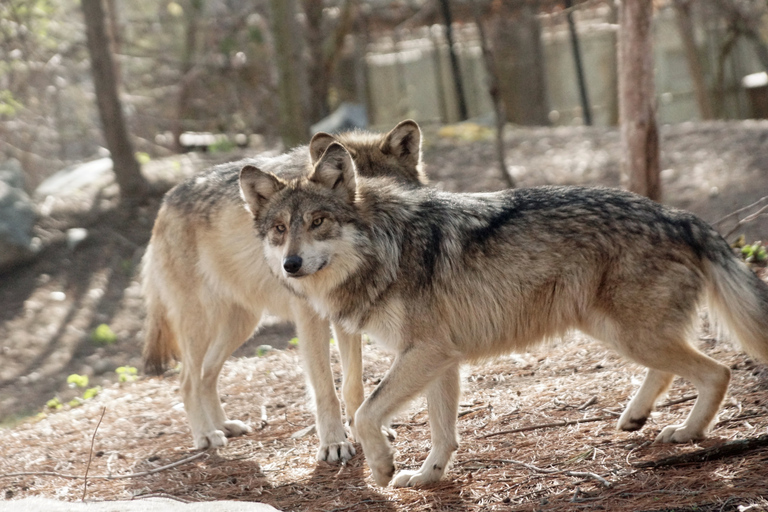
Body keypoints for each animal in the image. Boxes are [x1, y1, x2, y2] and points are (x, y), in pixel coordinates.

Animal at [140, 119, 426, 460]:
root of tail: (165, 202)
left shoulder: (345, 317)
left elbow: (353, 382)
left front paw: (365, 431)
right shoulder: (310, 320)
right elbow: (326, 387)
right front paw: (334, 443)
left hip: (241, 325)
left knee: (207, 374)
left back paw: (224, 426)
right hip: (199, 324)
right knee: (186, 380)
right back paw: (207, 435)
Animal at [240, 142, 768, 486]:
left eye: (318, 222)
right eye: (280, 229)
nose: (291, 264)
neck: (386, 245)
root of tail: (679, 215)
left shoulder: (426, 352)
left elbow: (368, 411)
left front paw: (383, 467)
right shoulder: (442, 358)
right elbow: (443, 433)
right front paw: (428, 477)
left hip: (631, 335)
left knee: (718, 371)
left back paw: (688, 432)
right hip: (615, 331)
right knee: (677, 369)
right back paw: (637, 417)